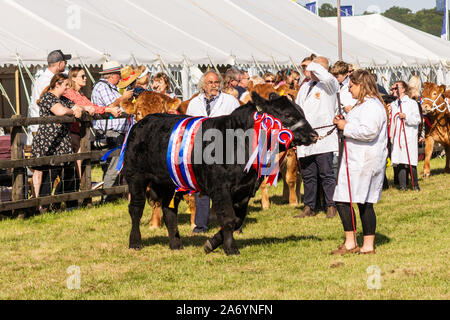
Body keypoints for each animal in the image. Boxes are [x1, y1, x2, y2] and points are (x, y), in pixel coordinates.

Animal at [121, 91, 197, 229]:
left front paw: (194, 223)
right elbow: (155, 199)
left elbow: (191, 196)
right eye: (138, 113)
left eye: (162, 112)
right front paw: (155, 224)